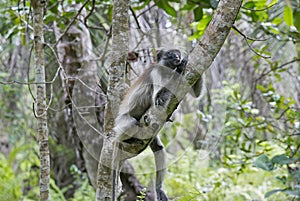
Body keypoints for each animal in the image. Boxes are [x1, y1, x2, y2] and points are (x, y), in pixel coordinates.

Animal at [113, 49, 204, 201]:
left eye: (177, 53)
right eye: (172, 54)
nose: (178, 57)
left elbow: (196, 94)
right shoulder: (157, 71)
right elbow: (158, 99)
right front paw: (180, 67)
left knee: (158, 147)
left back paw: (158, 187)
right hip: (121, 123)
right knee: (131, 122)